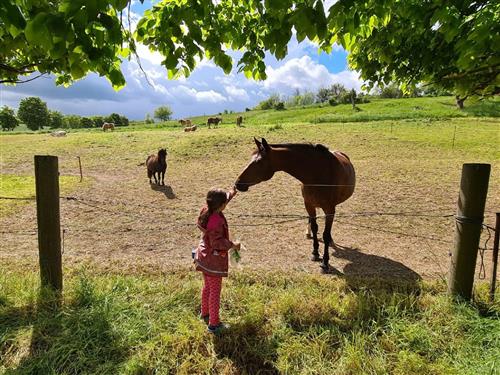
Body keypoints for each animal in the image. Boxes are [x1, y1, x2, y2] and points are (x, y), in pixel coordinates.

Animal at [235, 138, 356, 274]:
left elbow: (325, 234)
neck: (318, 173)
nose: (238, 183)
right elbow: (315, 228)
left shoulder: (329, 209)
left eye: (259, 162)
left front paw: (325, 263)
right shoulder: (309, 205)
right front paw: (315, 253)